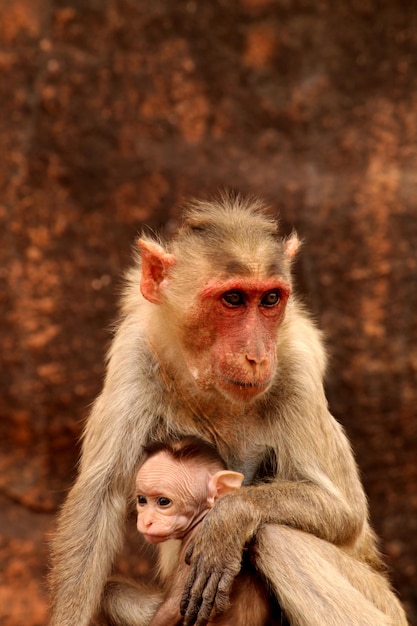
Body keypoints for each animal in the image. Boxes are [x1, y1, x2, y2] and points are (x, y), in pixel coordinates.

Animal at [136, 438, 282, 624]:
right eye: (142, 500)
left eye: (163, 502)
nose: (146, 521)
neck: (203, 516)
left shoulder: (195, 543)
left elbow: (172, 608)